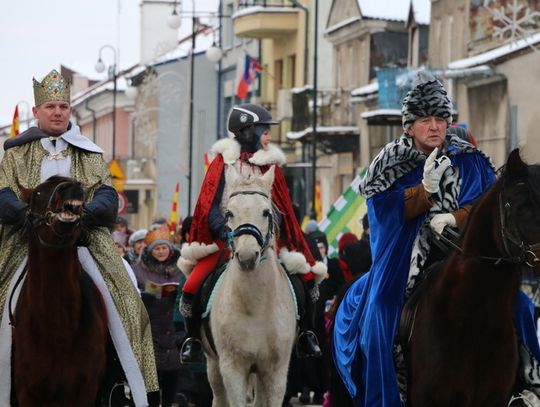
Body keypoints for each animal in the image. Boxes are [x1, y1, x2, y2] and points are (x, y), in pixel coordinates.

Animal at [201, 166, 296, 407]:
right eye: (229, 213)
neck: (256, 307)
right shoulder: (233, 367)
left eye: (266, 212)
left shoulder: (275, 371)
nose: (246, 256)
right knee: (219, 396)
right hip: (213, 364)